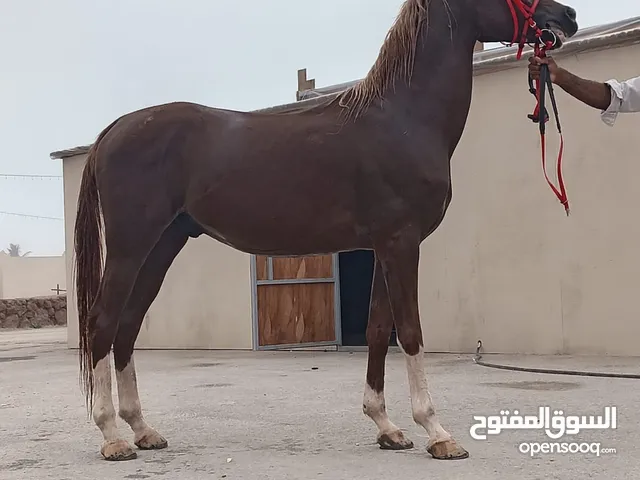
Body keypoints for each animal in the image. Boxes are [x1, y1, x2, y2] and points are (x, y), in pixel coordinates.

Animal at [73, 0, 578, 462]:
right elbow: (410, 330)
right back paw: (113, 436)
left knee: (127, 325)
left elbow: (378, 329)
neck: (403, 118)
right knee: (102, 322)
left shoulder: (382, 246)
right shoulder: (401, 243)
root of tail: (114, 129)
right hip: (130, 246)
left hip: (162, 245)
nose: (567, 17)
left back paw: (143, 430)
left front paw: (386, 426)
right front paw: (437, 431)